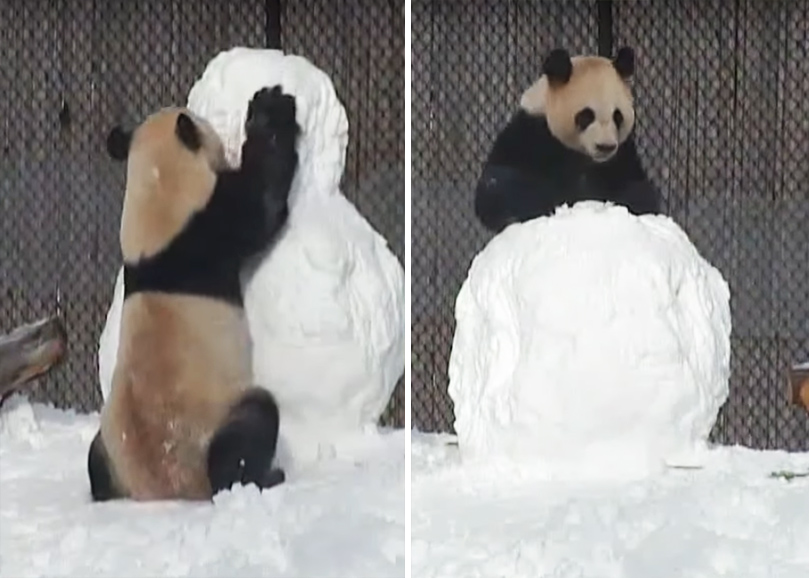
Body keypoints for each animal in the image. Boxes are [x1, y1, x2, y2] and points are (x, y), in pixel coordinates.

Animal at [87, 85, 300, 502]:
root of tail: (166, 486)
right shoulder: (210, 225)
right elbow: (261, 202)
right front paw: (271, 108)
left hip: (111, 446)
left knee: (94, 460)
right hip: (214, 420)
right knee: (249, 428)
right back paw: (260, 477)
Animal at [474, 46, 661, 233]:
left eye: (617, 116)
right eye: (586, 116)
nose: (605, 147)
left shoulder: (622, 154)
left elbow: (639, 188)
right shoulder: (530, 134)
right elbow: (495, 186)